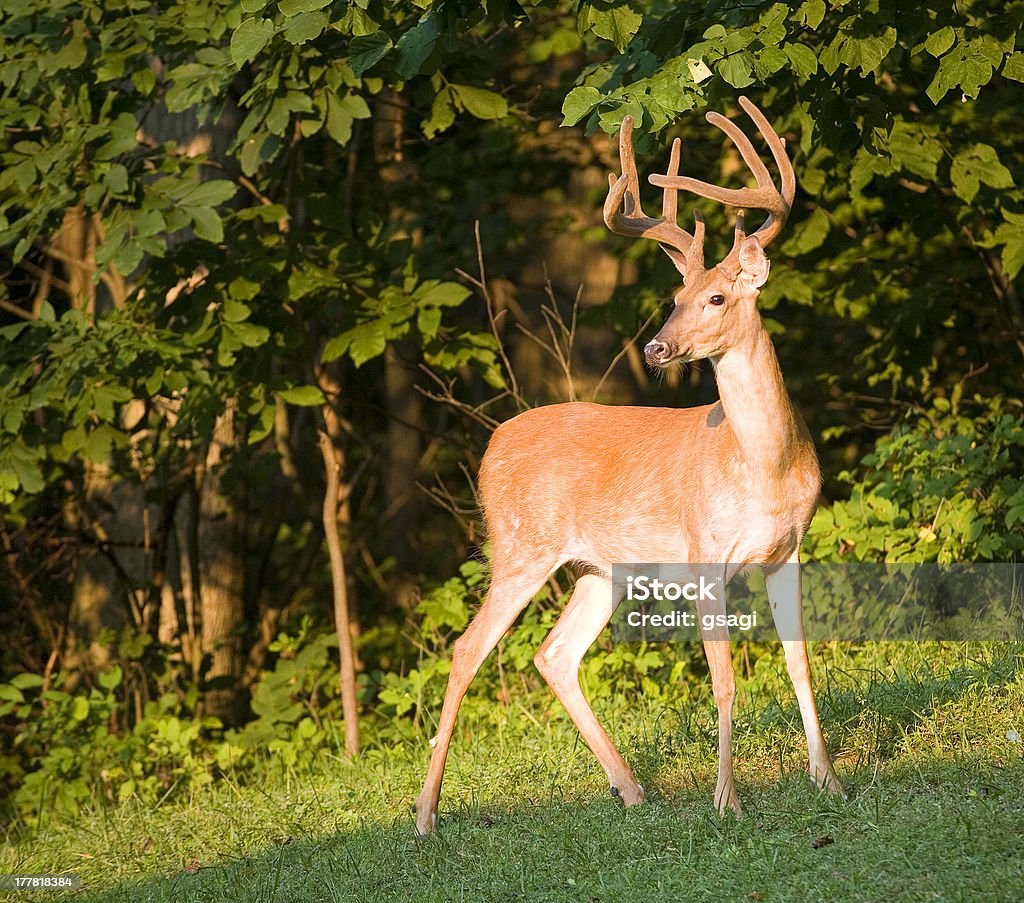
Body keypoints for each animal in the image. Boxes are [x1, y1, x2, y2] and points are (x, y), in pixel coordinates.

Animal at [411, 95, 843, 835]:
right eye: (674, 299)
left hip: (600, 565)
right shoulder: (704, 553)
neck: (762, 465)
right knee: (468, 648)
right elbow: (725, 678)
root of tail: (490, 448)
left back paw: (633, 790)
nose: (656, 347)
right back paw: (426, 815)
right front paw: (728, 800)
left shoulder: (788, 550)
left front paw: (830, 780)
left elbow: (800, 662)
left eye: (716, 297)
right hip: (522, 543)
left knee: (554, 653)